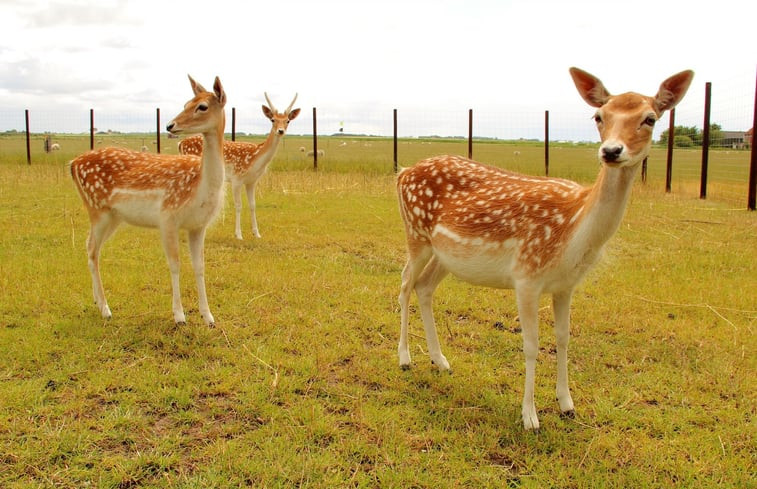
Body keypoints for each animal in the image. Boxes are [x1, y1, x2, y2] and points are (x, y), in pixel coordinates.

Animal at [72, 76, 229, 326]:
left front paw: (208, 316)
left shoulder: (198, 225)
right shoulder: (168, 217)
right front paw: (179, 316)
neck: (199, 189)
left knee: (91, 248)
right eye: (186, 103)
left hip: (113, 216)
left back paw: (98, 302)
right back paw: (106, 309)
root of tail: (72, 164)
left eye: (202, 106)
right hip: (96, 208)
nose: (170, 125)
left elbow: (200, 266)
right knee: (92, 248)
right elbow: (175, 264)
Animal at [179, 92, 300, 239]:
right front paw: (238, 234)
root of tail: (180, 143)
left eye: (288, 120)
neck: (255, 160)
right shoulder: (237, 178)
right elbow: (238, 205)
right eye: (272, 119)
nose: (280, 131)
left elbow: (253, 205)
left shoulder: (252, 181)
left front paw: (257, 233)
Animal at [398, 67, 692, 428]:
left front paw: (567, 404)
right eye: (599, 116)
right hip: (415, 232)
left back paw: (440, 361)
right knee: (405, 282)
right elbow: (531, 344)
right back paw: (405, 358)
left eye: (650, 118)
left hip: (446, 255)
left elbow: (564, 338)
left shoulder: (566, 285)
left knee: (424, 287)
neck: (573, 234)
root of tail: (402, 173)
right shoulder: (526, 275)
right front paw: (530, 416)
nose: (611, 151)